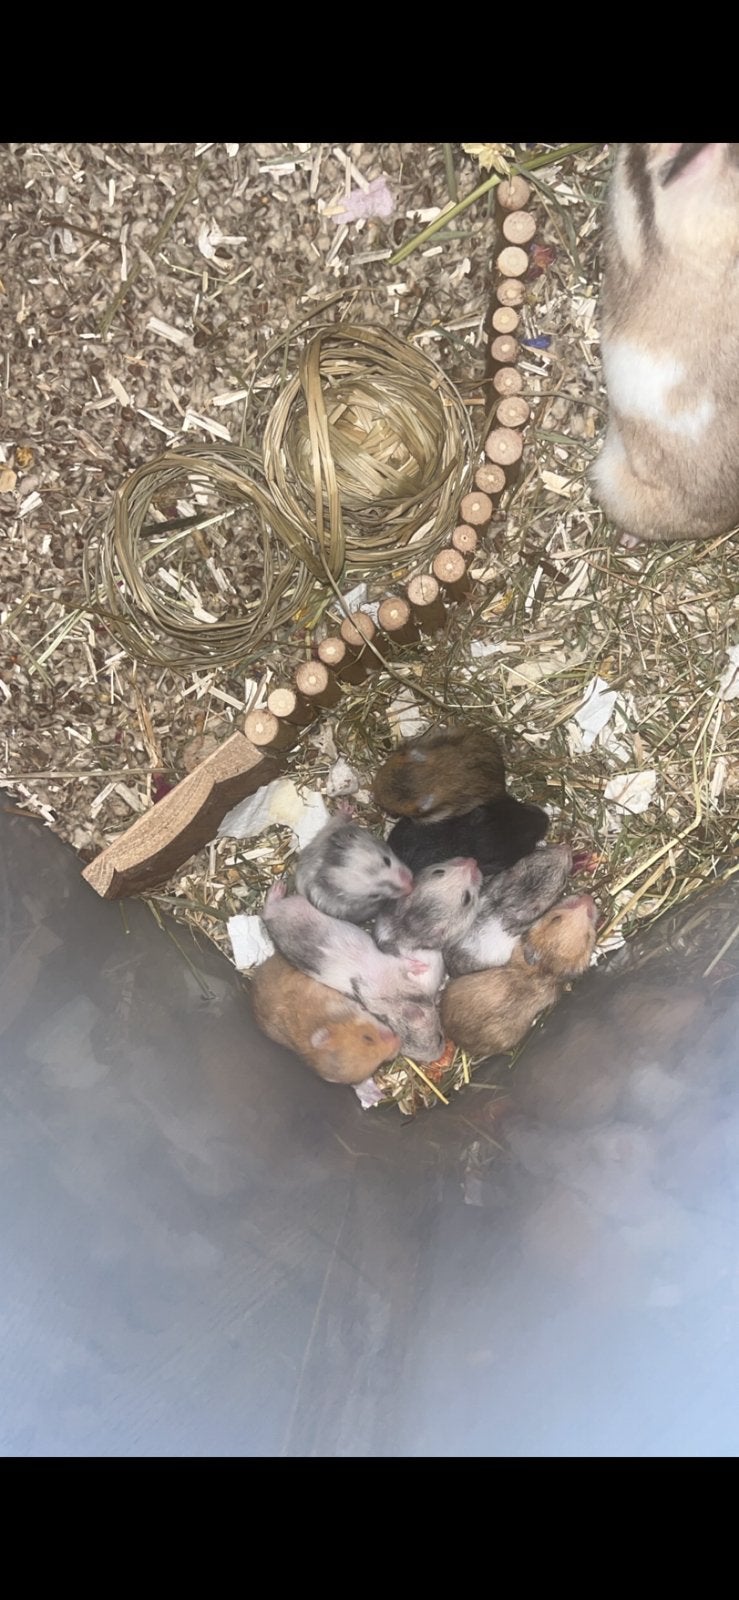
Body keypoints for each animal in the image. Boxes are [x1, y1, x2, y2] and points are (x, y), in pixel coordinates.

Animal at [261, 883, 445, 1061]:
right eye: (440, 1037)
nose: (437, 1056)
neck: (393, 999)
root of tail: (271, 919)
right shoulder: (393, 964)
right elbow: (407, 963)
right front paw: (421, 966)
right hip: (280, 910)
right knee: (268, 908)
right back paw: (278, 887)